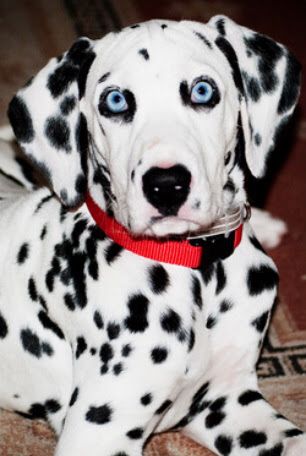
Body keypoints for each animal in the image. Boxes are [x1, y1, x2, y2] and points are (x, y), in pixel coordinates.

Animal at [0, 14, 306, 456]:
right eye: (115, 101)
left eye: (202, 90)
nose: (166, 185)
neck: (197, 270)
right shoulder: (98, 434)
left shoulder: (230, 402)